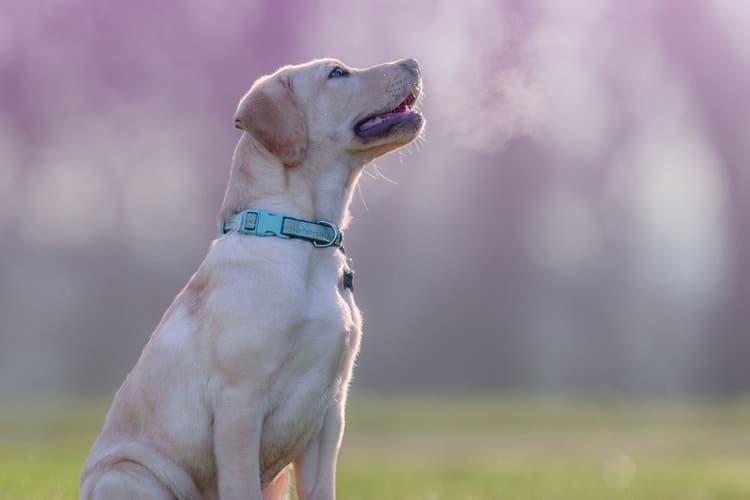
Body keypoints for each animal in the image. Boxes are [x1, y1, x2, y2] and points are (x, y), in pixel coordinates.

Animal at [81, 55, 426, 500]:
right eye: (337, 73)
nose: (413, 61)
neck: (302, 238)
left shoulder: (330, 410)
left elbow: (321, 490)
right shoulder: (240, 402)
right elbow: (241, 483)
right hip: (128, 476)